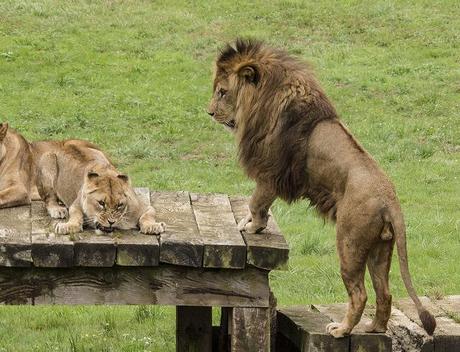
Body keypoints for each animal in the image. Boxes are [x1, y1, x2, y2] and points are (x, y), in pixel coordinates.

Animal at [31, 139, 165, 235]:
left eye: (119, 205)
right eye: (101, 203)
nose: (111, 222)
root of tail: (63, 143)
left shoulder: (143, 206)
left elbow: (148, 215)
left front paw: (153, 226)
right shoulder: (76, 204)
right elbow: (75, 216)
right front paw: (67, 226)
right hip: (47, 158)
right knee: (49, 199)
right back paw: (58, 210)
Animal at [207, 40, 436, 336]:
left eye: (222, 92)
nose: (210, 112)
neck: (265, 99)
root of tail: (390, 201)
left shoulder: (271, 173)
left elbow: (256, 202)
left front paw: (252, 226)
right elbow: (258, 204)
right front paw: (249, 222)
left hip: (349, 243)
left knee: (360, 293)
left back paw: (342, 330)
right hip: (380, 248)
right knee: (384, 293)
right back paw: (373, 328)